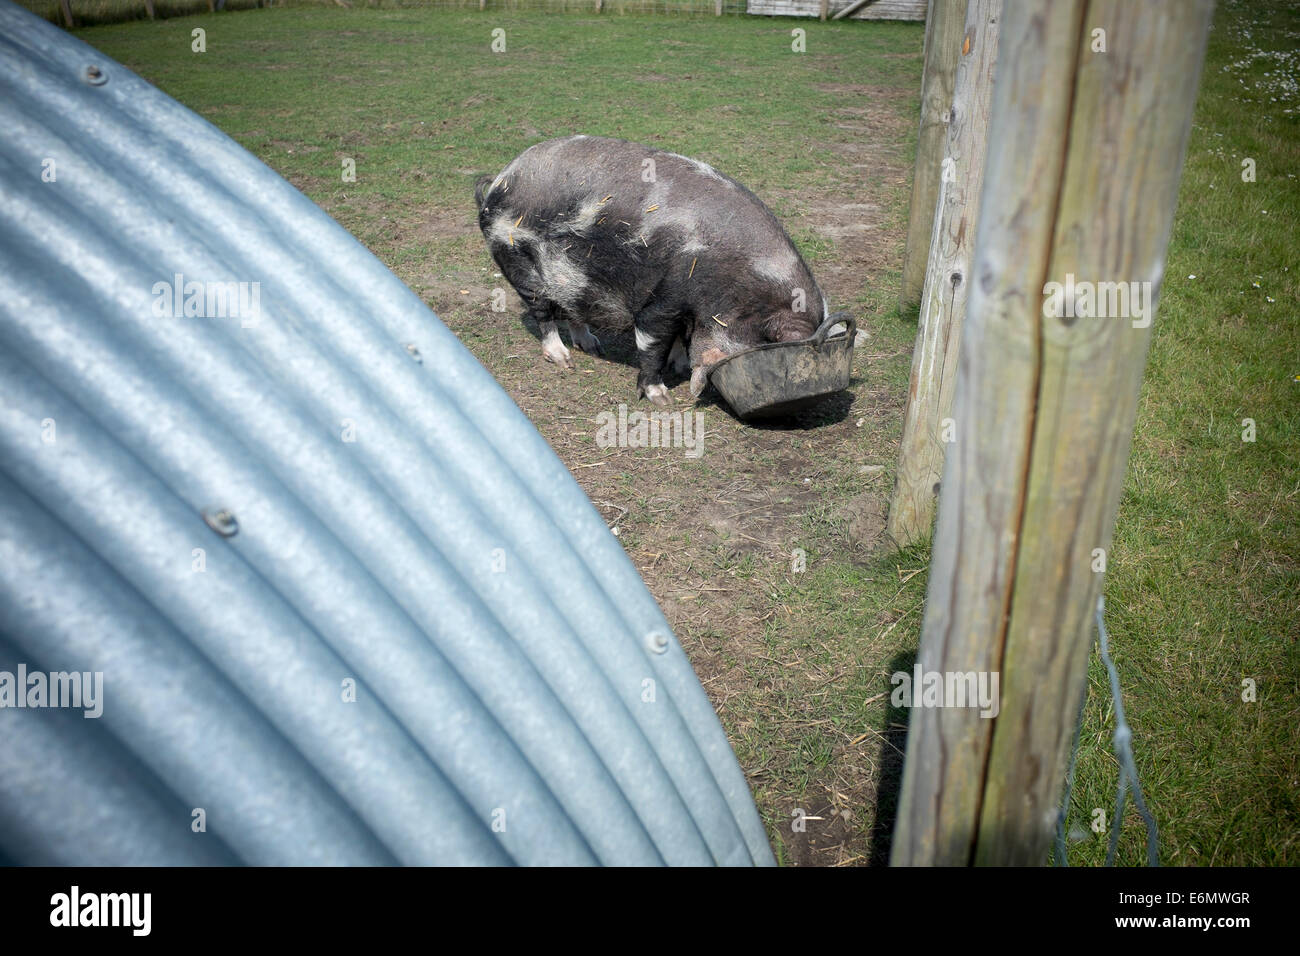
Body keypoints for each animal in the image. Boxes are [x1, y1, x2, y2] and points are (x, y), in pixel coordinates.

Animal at [475, 135, 834, 406]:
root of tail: (496, 184)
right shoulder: (664, 298)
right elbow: (653, 343)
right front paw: (662, 399)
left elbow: (677, 339)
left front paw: (681, 368)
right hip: (517, 260)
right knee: (543, 313)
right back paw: (564, 360)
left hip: (570, 276)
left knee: (572, 309)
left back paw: (592, 346)